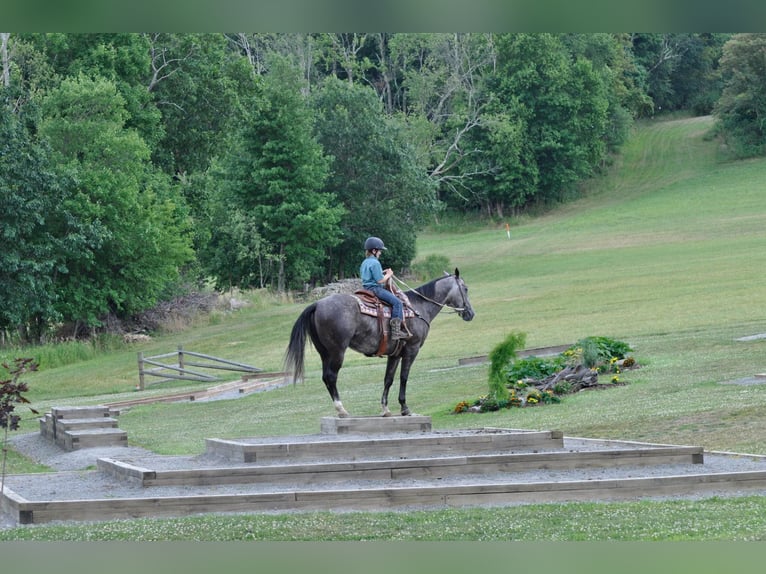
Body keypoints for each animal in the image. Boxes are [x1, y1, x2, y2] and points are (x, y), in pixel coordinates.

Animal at [286, 270, 474, 418]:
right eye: (465, 288)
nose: (470, 313)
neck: (418, 308)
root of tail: (317, 304)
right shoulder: (412, 349)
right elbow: (404, 377)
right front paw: (405, 408)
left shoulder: (394, 354)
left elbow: (388, 379)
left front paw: (385, 409)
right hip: (337, 351)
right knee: (331, 377)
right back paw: (342, 410)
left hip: (324, 353)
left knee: (326, 377)